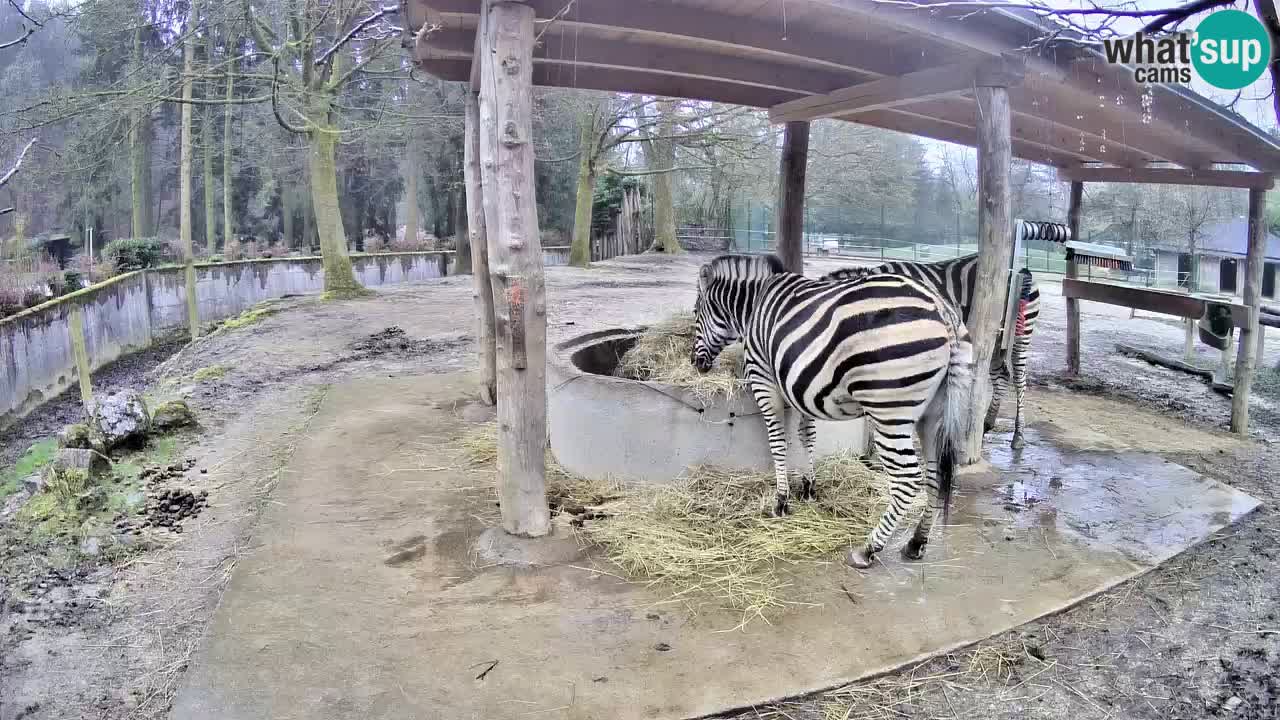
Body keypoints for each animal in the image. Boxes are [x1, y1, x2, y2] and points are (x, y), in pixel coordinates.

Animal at [691, 252, 967, 566]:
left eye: (695, 312)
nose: (695, 364)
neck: (754, 306)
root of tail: (941, 309)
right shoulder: (802, 385)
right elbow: (806, 435)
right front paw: (808, 487)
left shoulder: (764, 378)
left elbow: (778, 441)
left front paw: (781, 501)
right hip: (934, 413)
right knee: (936, 476)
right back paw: (916, 542)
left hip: (889, 411)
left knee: (907, 479)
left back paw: (868, 548)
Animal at [819, 251, 1039, 443]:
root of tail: (1019, 269)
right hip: (994, 338)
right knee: (1001, 375)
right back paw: (987, 423)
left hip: (1020, 333)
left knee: (1019, 378)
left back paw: (1018, 434)